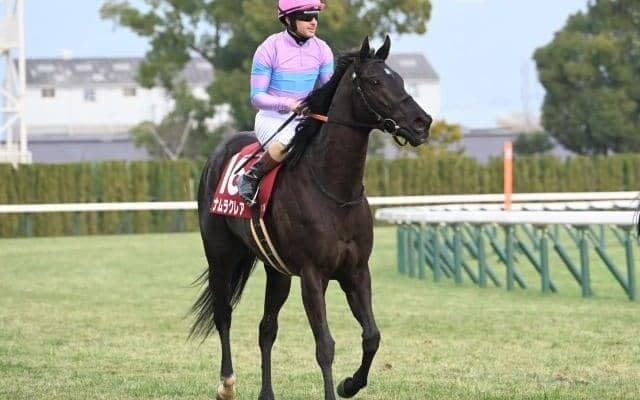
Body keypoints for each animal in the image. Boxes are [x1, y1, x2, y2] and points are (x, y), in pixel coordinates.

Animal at [190, 36, 432, 400]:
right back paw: (226, 384)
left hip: (277, 271)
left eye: (401, 79)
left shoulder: (356, 271)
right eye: (375, 81)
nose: (422, 122)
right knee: (224, 314)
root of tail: (218, 154)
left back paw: (266, 393)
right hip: (221, 255)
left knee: (266, 328)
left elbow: (372, 336)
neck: (334, 191)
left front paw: (349, 384)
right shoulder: (312, 275)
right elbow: (325, 346)